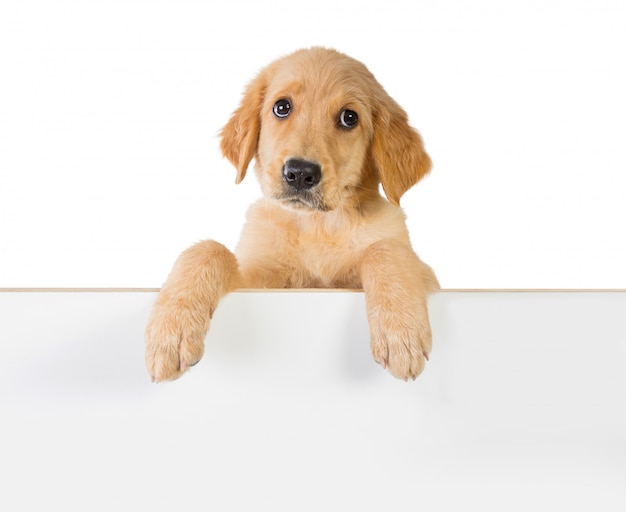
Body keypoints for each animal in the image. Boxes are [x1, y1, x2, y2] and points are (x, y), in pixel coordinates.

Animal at [144, 48, 436, 382]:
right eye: (282, 107)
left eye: (349, 118)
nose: (300, 173)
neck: (316, 226)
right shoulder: (257, 282)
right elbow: (208, 249)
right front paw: (170, 330)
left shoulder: (425, 274)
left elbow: (385, 250)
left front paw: (401, 334)